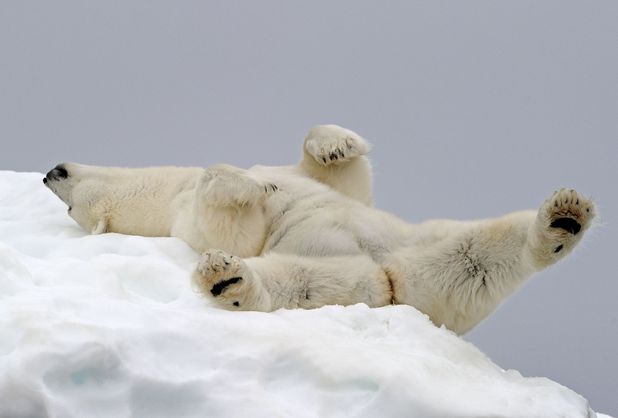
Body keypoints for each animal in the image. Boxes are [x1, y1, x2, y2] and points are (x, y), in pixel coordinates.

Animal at [43, 124, 592, 334]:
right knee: (288, 282)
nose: (52, 171)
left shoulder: (314, 182)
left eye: (67, 198)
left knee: (480, 249)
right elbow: (228, 224)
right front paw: (249, 188)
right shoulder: (187, 219)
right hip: (334, 279)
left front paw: (336, 145)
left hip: (415, 246)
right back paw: (227, 280)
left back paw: (563, 216)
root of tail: (393, 291)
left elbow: (343, 181)